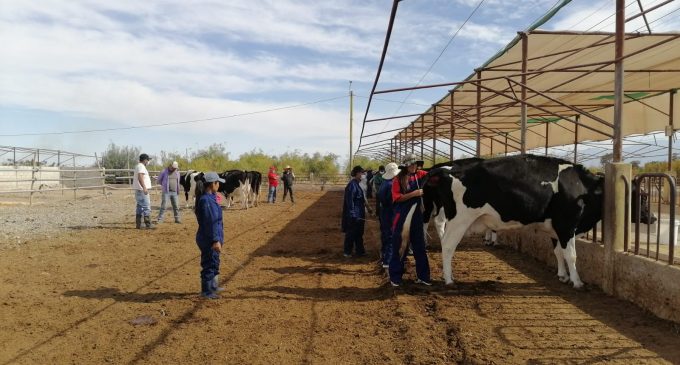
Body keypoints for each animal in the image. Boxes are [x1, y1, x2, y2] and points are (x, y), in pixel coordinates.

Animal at [422, 154, 604, 288]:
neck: (581, 186)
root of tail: (447, 170)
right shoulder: (566, 225)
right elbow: (571, 255)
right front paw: (577, 282)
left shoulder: (555, 228)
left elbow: (558, 252)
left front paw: (563, 276)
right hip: (459, 219)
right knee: (447, 244)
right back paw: (449, 280)